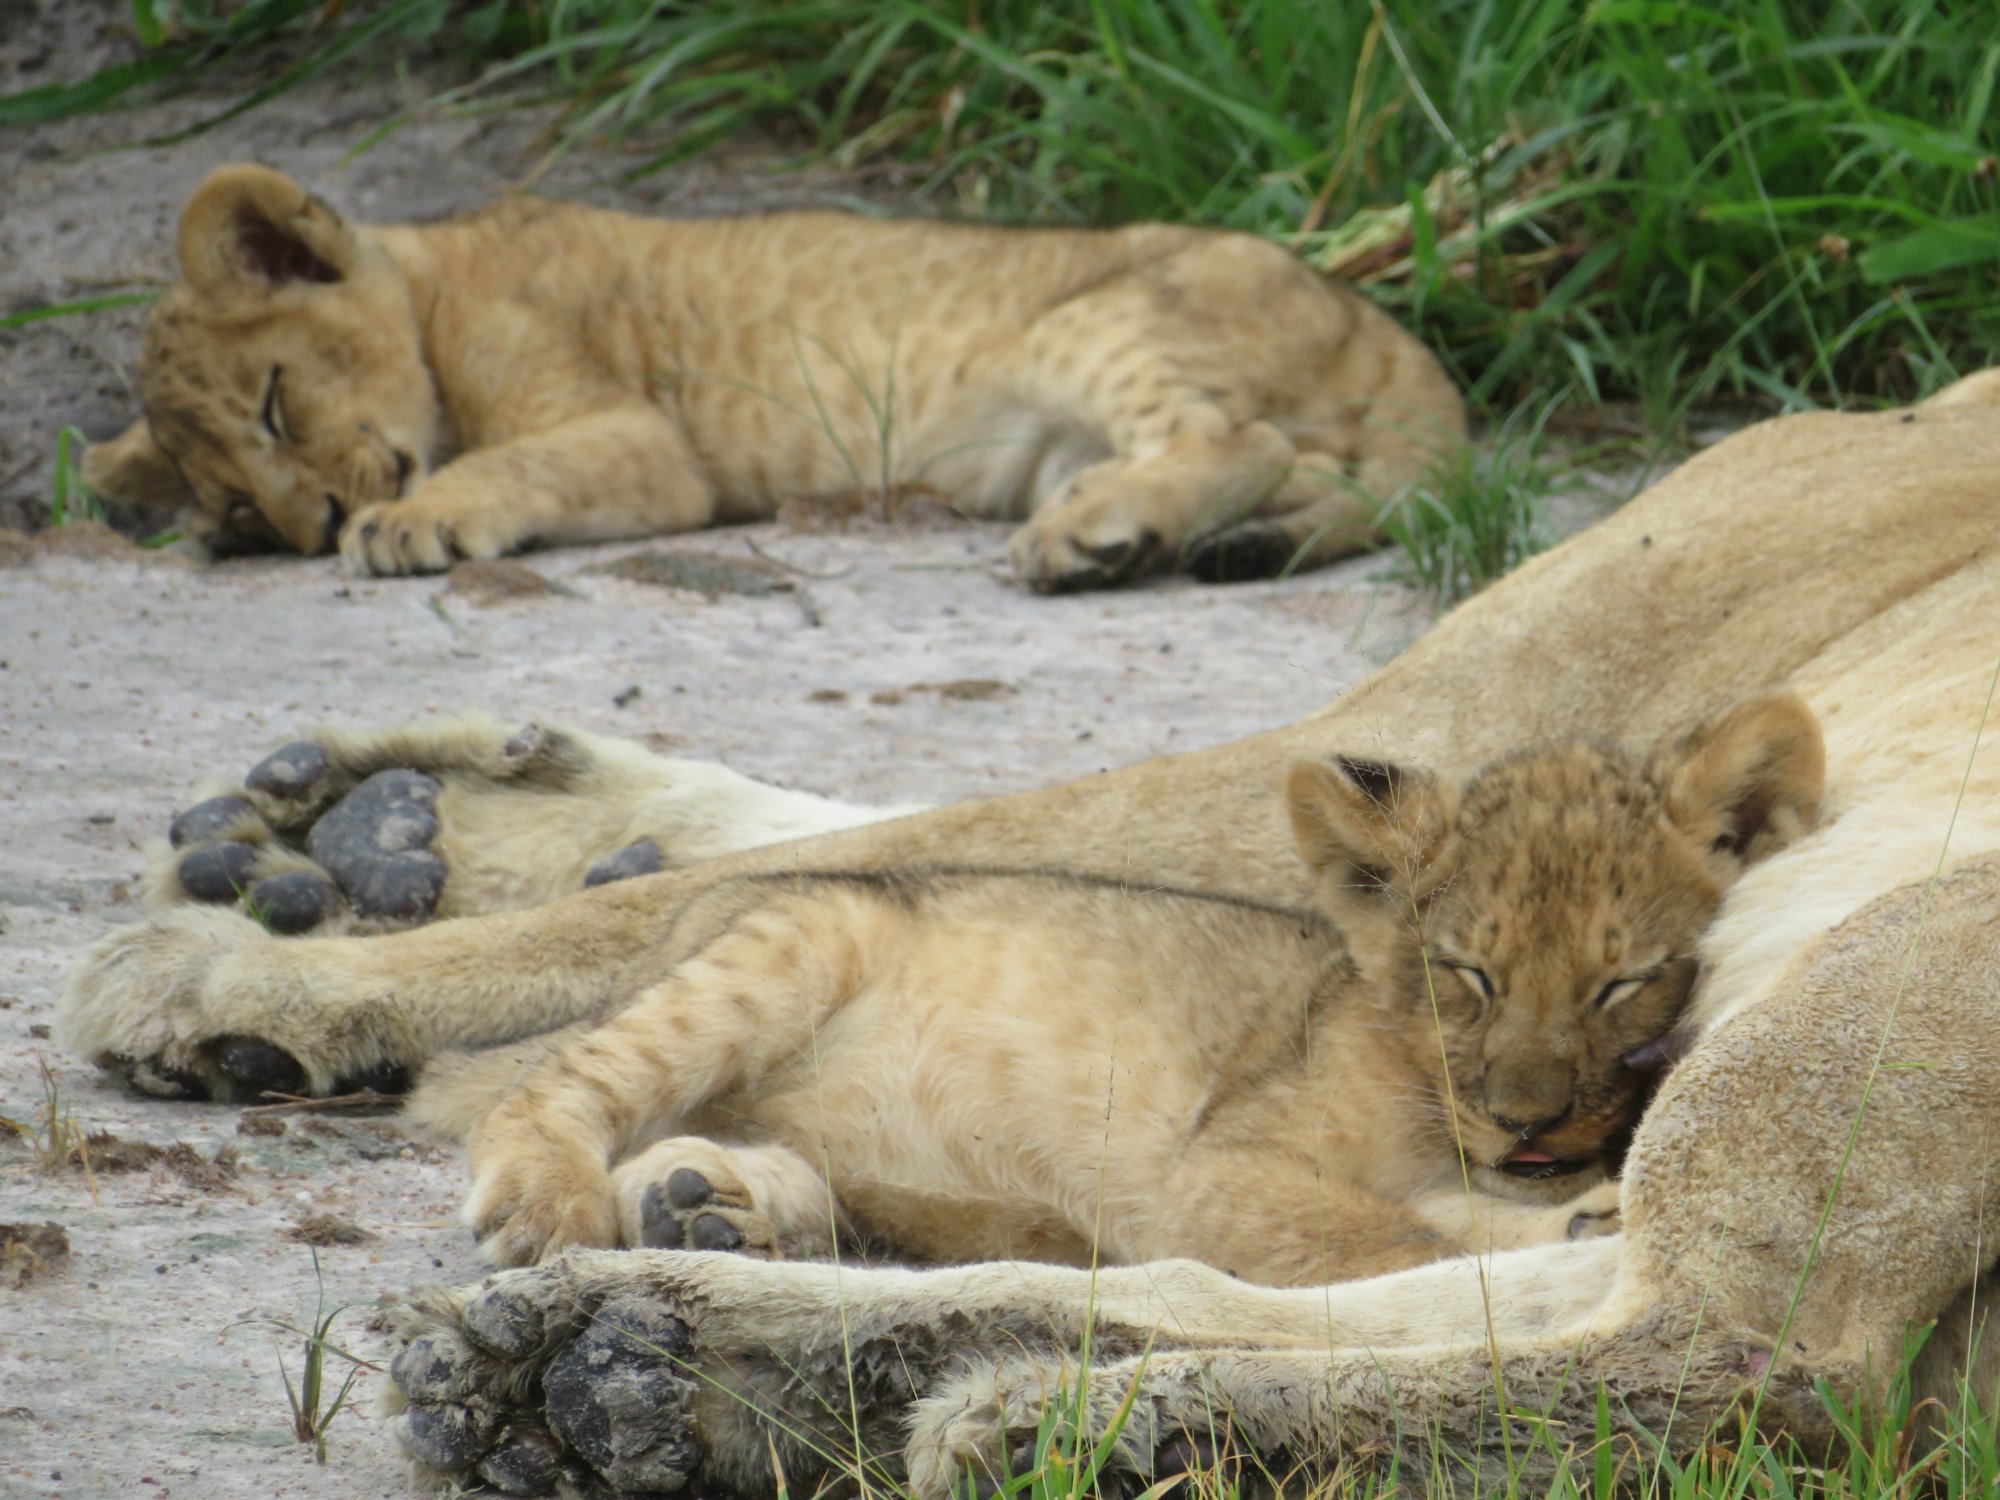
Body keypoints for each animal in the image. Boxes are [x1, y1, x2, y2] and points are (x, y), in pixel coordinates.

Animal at [58, 375, 2000, 1495]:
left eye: (1614, 977)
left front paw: (240, 979)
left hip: (1861, 946)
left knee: (1740, 1365)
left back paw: (1059, 1426)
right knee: (1392, 1278)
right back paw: (639, 1341)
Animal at [80, 163, 1465, 591]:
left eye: (275, 401)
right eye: (233, 500)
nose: (309, 524)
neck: (431, 273)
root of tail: (1376, 319)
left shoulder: (642, 442)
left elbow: (506, 461)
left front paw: (409, 521)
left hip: (1092, 319)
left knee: (1244, 441)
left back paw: (1091, 541)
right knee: (1318, 472)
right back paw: (1183, 542)